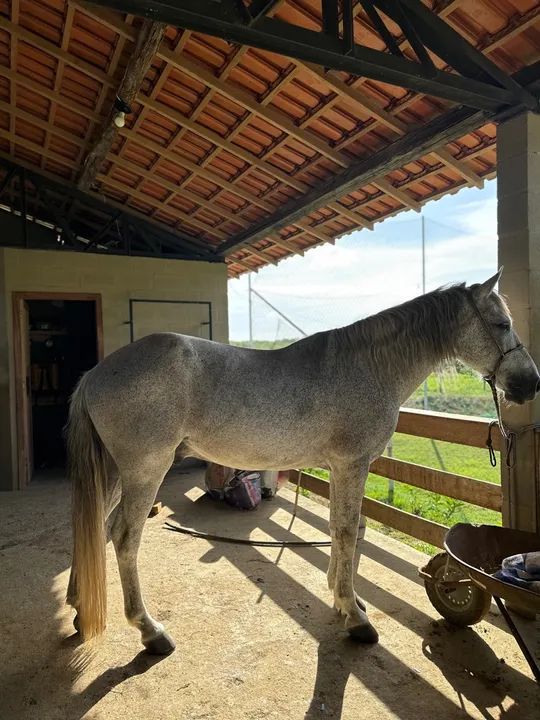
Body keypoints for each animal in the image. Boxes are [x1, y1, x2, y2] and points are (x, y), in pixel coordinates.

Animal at [66, 269, 539, 655]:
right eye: (501, 324)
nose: (531, 382)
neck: (369, 367)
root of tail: (96, 373)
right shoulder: (351, 465)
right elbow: (347, 531)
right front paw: (355, 616)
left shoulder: (338, 469)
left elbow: (339, 528)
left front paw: (343, 597)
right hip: (146, 471)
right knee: (124, 537)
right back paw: (150, 631)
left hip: (115, 472)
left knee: (94, 525)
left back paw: (77, 606)